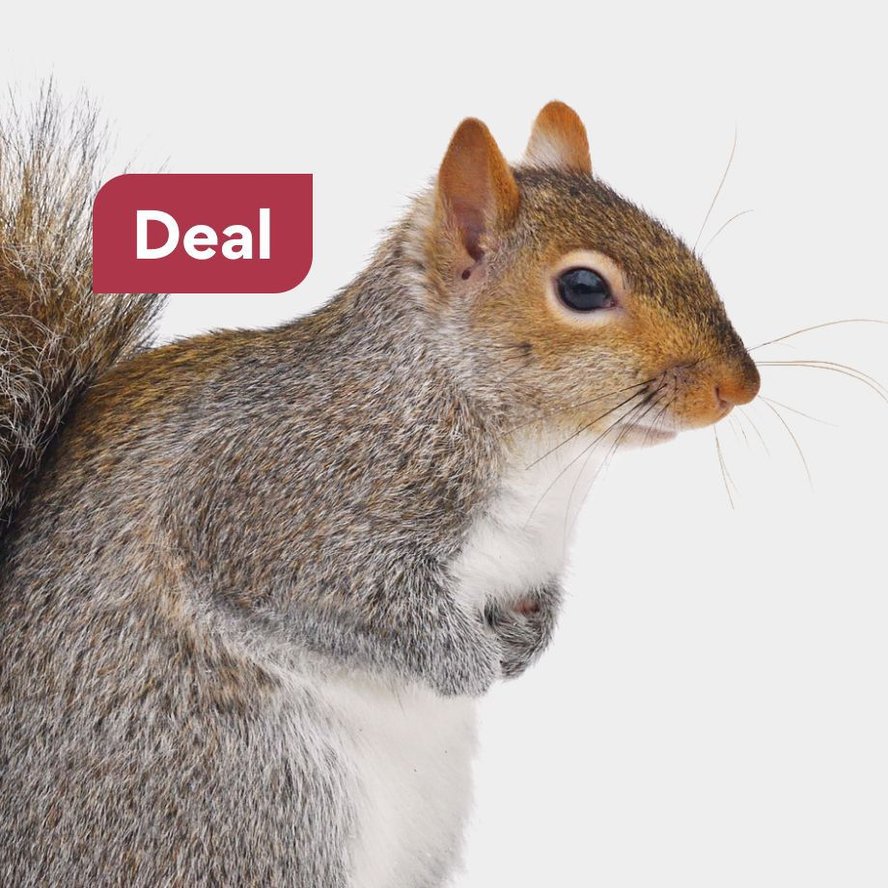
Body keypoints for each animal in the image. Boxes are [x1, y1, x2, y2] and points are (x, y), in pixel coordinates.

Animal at [0, 94, 760, 887]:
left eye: (683, 248)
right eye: (584, 288)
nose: (741, 386)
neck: (544, 459)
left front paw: (526, 644)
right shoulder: (269, 502)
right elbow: (345, 601)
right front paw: (466, 663)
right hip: (251, 804)